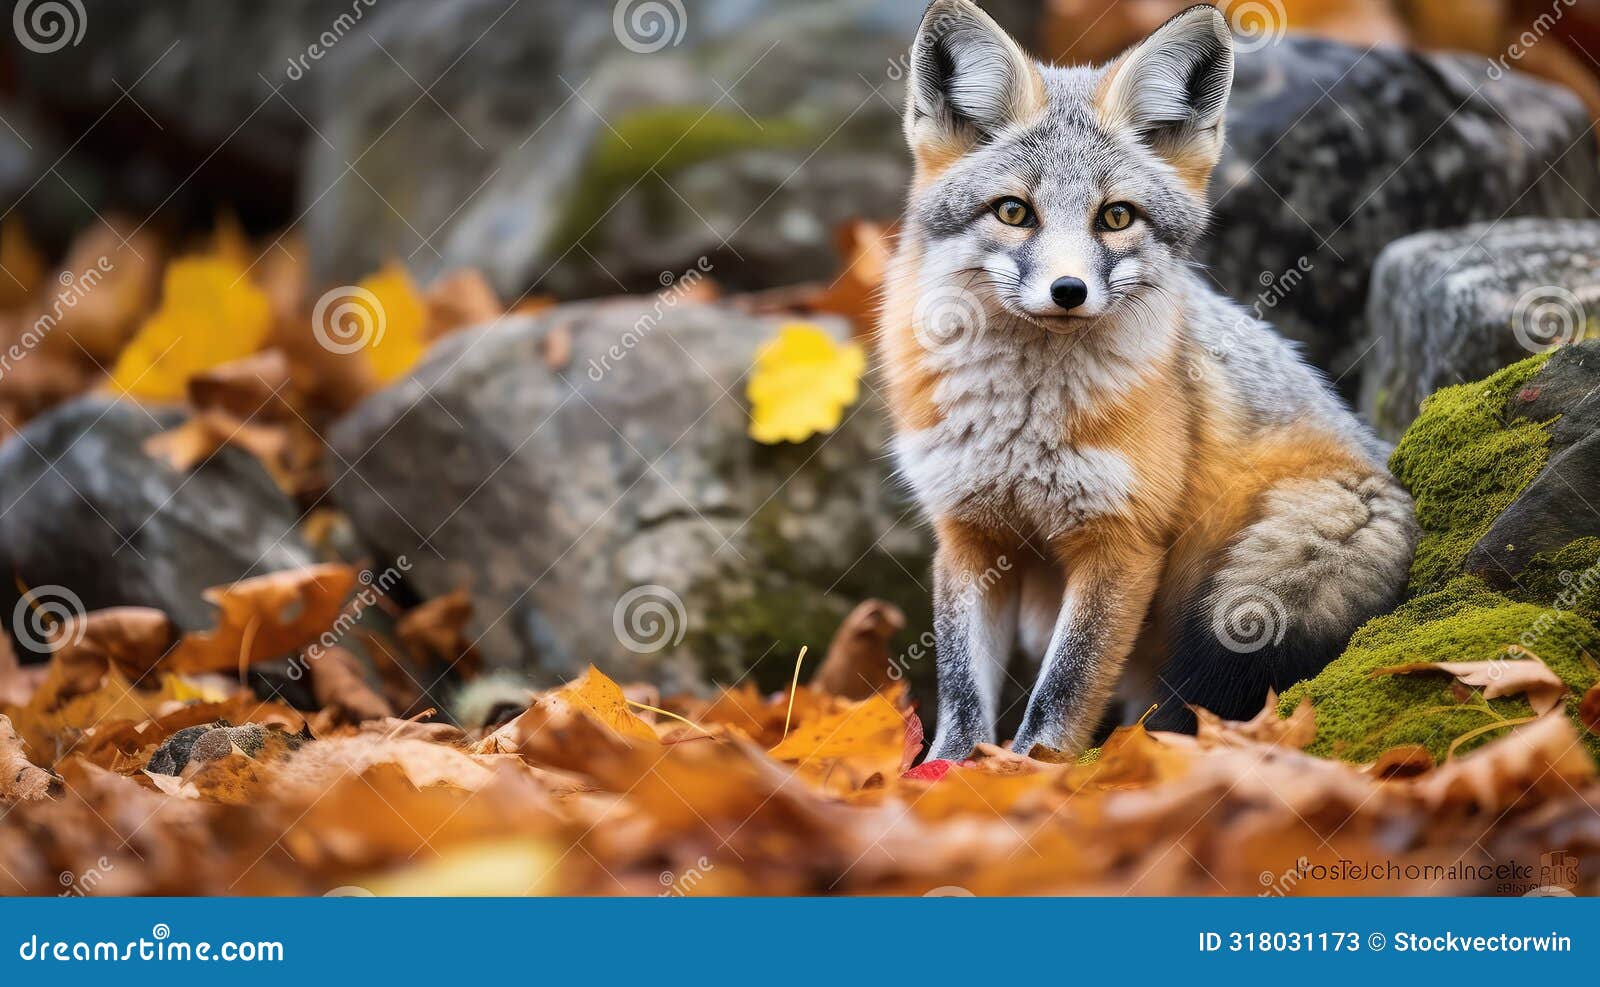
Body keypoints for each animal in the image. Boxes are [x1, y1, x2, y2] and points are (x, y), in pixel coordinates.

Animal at [883, 0, 1420, 758]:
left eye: (1116, 217)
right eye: (1014, 211)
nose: (1068, 291)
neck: (1020, 425)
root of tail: (1376, 465)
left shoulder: (1121, 544)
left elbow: (1059, 698)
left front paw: (1029, 776)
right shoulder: (970, 535)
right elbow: (961, 696)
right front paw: (948, 775)